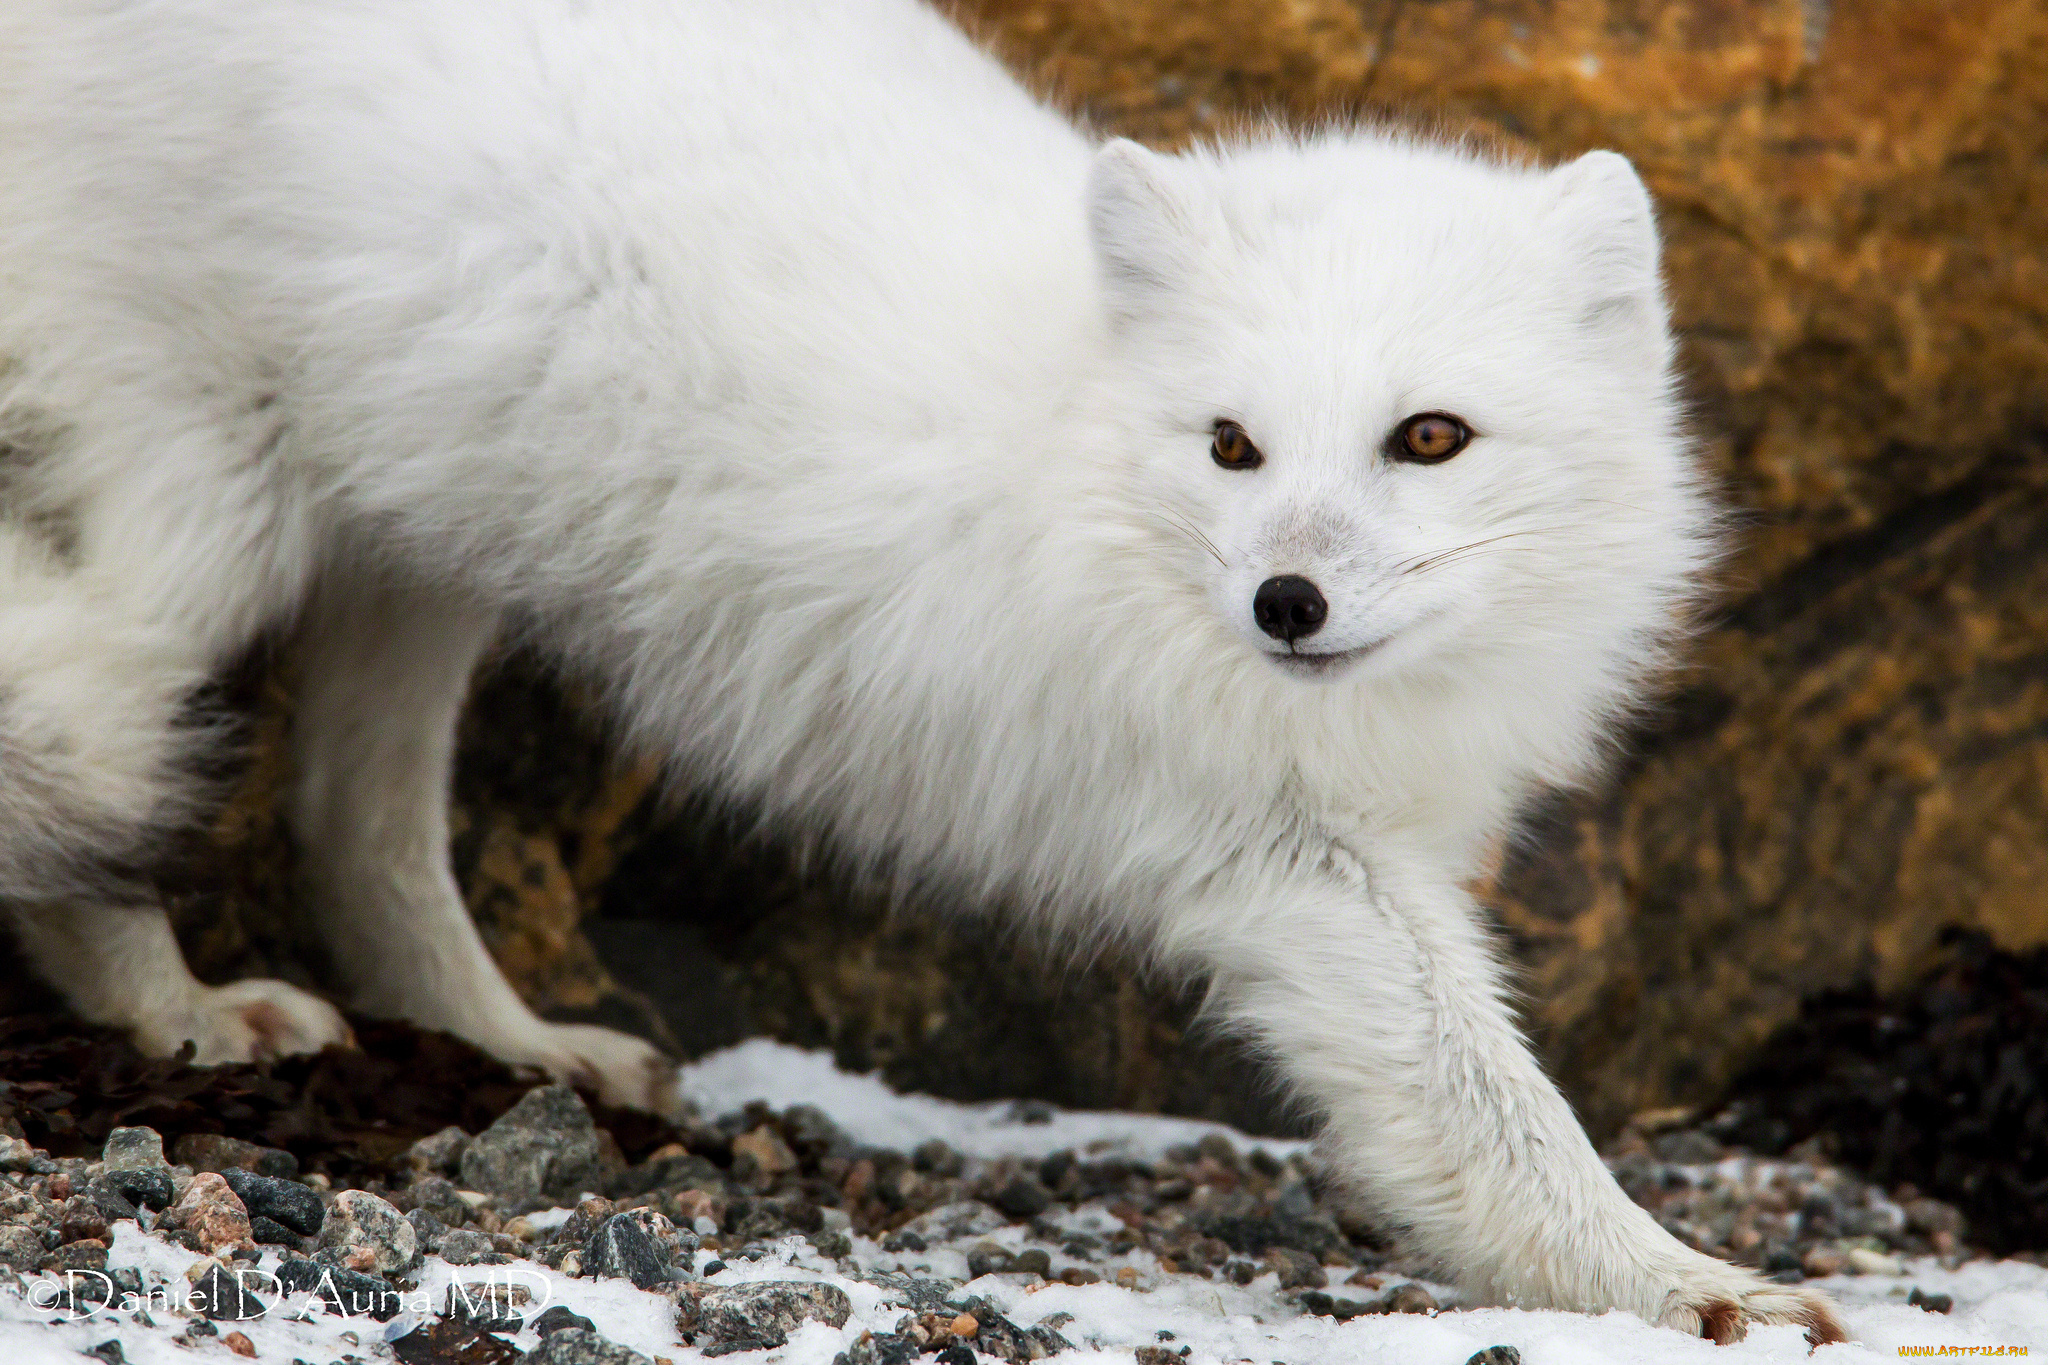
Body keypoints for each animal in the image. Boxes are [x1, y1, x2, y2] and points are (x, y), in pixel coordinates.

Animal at [0, 0, 1843, 1342]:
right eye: (1232, 445)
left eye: (1430, 438)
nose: (1286, 605)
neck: (1087, 451)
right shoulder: (1284, 858)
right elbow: (1490, 1108)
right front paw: (1681, 1286)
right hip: (214, 523)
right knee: (105, 750)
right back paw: (178, 1011)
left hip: (424, 561)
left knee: (352, 818)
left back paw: (504, 1041)